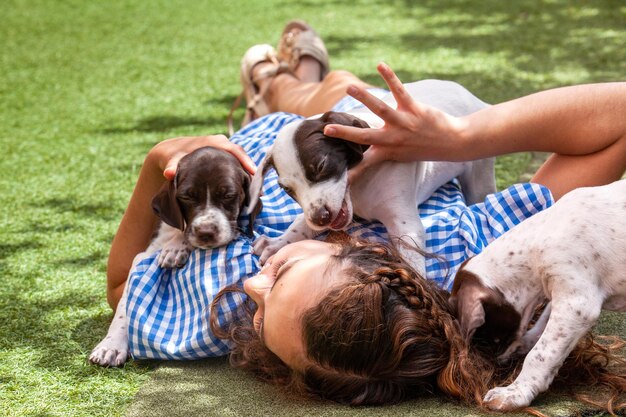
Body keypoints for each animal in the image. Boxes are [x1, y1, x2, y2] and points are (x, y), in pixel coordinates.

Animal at [90, 146, 251, 368]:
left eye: (228, 195)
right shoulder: (144, 256)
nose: (206, 232)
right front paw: (111, 345)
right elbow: (124, 309)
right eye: (187, 197)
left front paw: (177, 246)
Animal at [246, 79, 494, 274]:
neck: (358, 190)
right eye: (287, 189)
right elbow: (300, 223)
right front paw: (279, 242)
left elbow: (411, 259)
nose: (320, 218)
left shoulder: (406, 225)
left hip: (479, 177)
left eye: (322, 166)